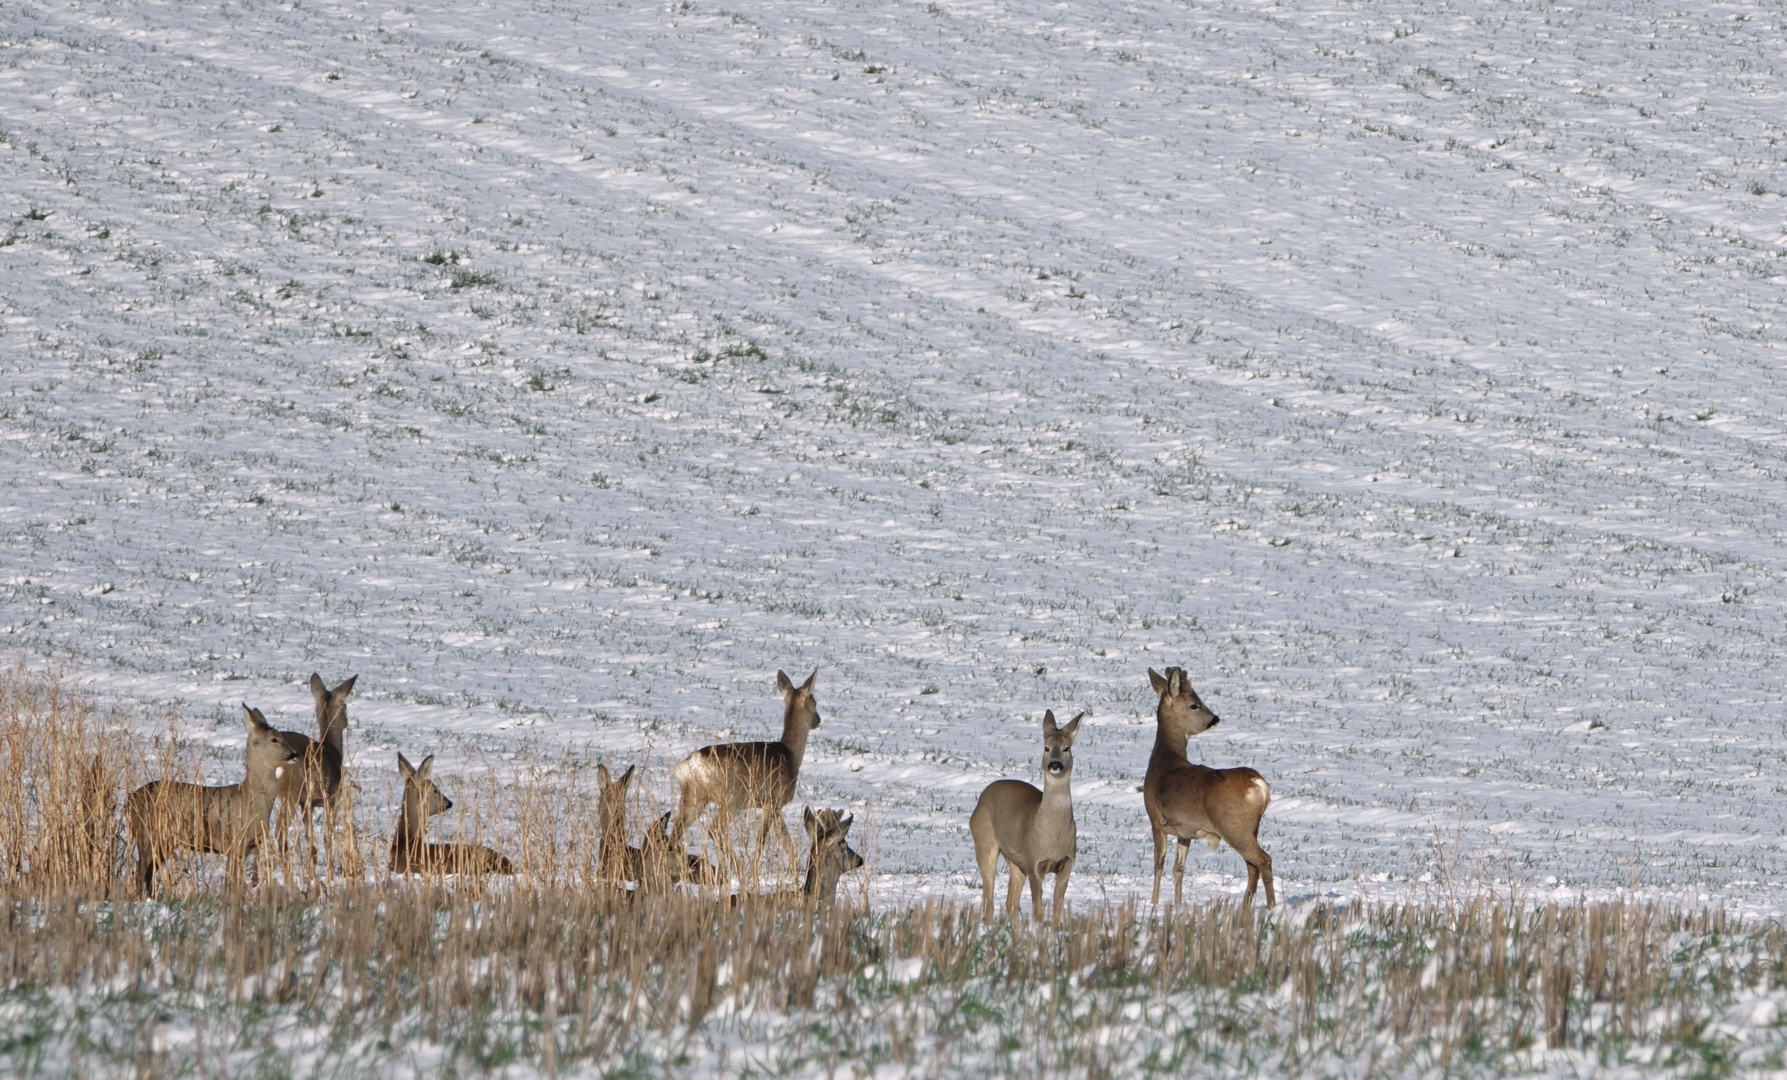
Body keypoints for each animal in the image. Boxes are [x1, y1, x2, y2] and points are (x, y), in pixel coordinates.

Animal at [125, 700, 300, 894]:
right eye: (274, 739)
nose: (295, 754)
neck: (251, 799)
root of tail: (129, 800)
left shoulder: (248, 846)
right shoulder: (236, 841)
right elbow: (232, 883)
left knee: (147, 871)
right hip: (149, 834)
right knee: (140, 871)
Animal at [275, 675, 355, 869]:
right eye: (345, 706)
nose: (347, 721)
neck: (333, 750)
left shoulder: (307, 802)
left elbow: (310, 838)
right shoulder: (332, 796)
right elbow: (327, 836)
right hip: (291, 792)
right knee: (280, 830)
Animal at [671, 665, 822, 886]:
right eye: (814, 701)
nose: (818, 720)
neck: (791, 754)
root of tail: (692, 763)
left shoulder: (775, 806)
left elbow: (786, 842)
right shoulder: (772, 801)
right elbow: (762, 840)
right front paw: (755, 874)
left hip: (694, 797)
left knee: (674, 830)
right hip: (731, 798)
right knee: (714, 829)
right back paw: (740, 869)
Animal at [972, 708, 1079, 922]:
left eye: (1066, 748)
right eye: (1046, 747)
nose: (1055, 764)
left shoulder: (1067, 862)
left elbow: (1057, 909)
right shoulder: (1033, 862)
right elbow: (1038, 910)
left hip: (1015, 860)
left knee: (1010, 903)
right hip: (984, 841)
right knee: (989, 899)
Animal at [1143, 665, 1272, 911]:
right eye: (1195, 704)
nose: (1215, 719)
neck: (1163, 762)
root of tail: (1259, 785)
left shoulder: (1156, 819)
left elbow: (1158, 864)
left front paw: (1153, 903)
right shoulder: (1185, 830)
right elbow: (1178, 869)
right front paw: (1178, 905)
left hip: (1234, 826)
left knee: (1263, 860)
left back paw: (1271, 907)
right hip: (1251, 828)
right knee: (1253, 866)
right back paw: (1245, 908)